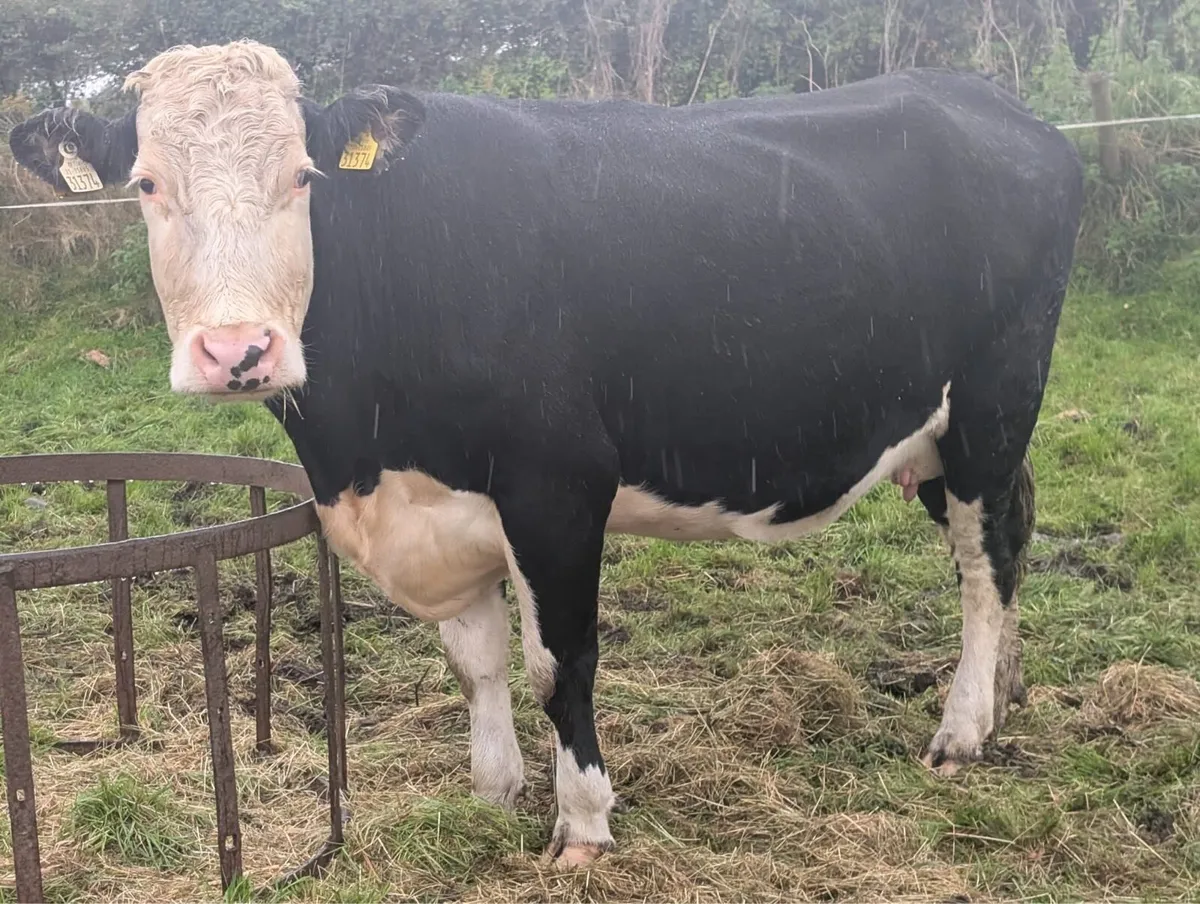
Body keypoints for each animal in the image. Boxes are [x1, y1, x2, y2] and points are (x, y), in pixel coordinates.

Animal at [10, 40, 1084, 868]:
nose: (238, 350)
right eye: (147, 183)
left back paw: (960, 730)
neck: (360, 450)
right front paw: (494, 789)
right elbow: (474, 660)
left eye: (303, 178)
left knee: (985, 561)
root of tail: (994, 104)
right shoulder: (441, 507)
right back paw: (1004, 696)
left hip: (993, 406)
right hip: (940, 436)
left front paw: (584, 824)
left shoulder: (556, 488)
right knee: (1012, 534)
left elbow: (556, 664)